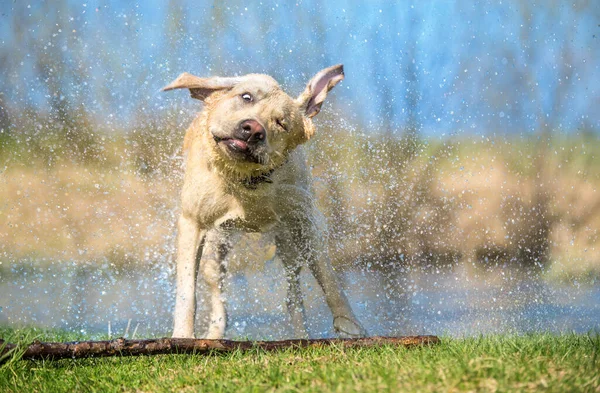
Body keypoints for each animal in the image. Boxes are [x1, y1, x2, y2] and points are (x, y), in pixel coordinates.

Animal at [163, 63, 366, 336]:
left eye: (281, 123)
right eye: (246, 96)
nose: (253, 129)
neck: (247, 180)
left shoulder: (304, 221)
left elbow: (328, 276)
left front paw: (350, 325)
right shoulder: (192, 222)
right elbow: (187, 290)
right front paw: (184, 335)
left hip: (288, 243)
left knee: (293, 295)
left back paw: (301, 334)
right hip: (216, 245)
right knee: (217, 290)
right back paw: (215, 331)